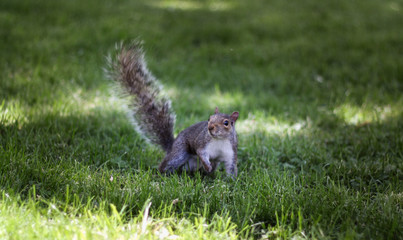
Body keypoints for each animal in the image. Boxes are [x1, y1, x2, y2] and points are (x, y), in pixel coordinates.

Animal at [107, 41, 240, 176]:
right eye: (209, 118)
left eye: (226, 123)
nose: (210, 127)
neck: (220, 140)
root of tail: (171, 146)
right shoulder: (202, 144)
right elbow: (201, 154)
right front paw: (207, 166)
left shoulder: (231, 153)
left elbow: (231, 168)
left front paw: (230, 180)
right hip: (179, 153)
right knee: (167, 164)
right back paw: (164, 174)